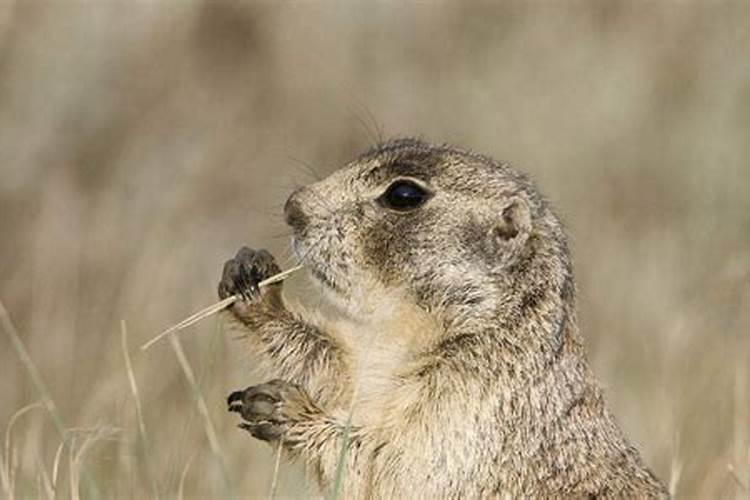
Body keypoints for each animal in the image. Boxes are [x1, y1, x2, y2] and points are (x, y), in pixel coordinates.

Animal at [219, 137, 668, 496]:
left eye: (404, 194)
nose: (292, 206)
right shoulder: (379, 356)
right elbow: (342, 365)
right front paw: (251, 281)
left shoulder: (476, 402)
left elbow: (395, 466)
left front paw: (283, 407)